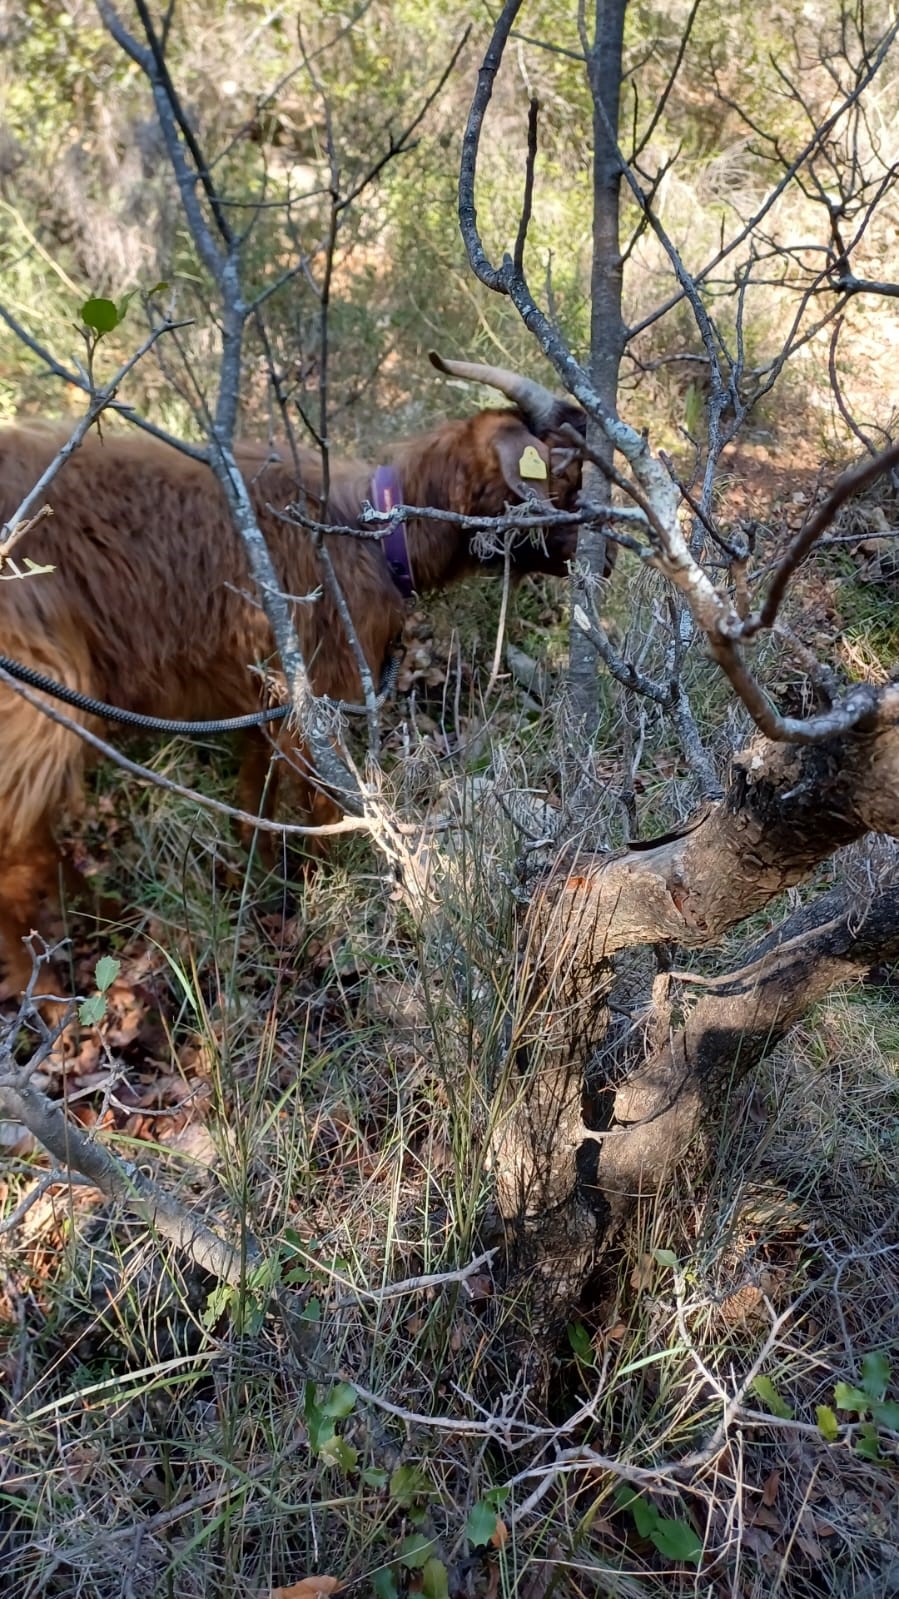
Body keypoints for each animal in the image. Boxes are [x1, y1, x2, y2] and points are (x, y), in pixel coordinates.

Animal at [0, 359, 585, 997]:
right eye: (565, 482)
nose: (598, 557)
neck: (371, 529)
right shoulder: (321, 693)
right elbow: (324, 803)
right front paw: (331, 887)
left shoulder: (264, 694)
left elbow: (254, 788)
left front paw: (260, 877)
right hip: (32, 712)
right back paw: (53, 994)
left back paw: (100, 916)